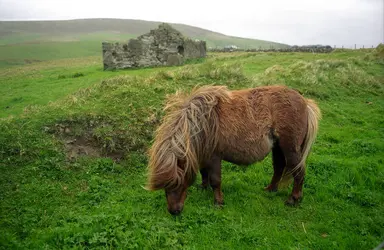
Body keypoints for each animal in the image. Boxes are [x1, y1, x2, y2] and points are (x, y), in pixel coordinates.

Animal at [147, 85, 320, 216]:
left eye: (177, 182)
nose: (174, 211)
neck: (204, 121)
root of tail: (304, 102)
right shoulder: (203, 154)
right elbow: (204, 173)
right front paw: (203, 187)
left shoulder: (214, 157)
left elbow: (215, 180)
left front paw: (218, 202)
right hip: (277, 147)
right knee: (279, 168)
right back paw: (270, 189)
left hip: (290, 149)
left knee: (298, 172)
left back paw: (293, 199)